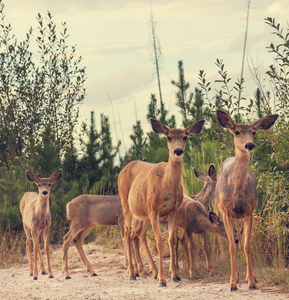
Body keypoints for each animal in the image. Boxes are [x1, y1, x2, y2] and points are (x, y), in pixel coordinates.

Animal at [117, 118, 205, 286]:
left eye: (185, 137)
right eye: (169, 137)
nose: (178, 151)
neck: (166, 184)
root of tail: (123, 169)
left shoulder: (173, 210)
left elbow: (172, 240)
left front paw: (175, 275)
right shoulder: (154, 211)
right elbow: (159, 242)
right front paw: (162, 280)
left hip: (142, 214)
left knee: (137, 234)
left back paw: (150, 271)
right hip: (126, 205)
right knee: (127, 233)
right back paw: (132, 273)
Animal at [215, 109, 278, 290]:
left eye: (253, 132)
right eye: (236, 132)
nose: (249, 145)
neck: (236, 194)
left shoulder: (249, 211)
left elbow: (247, 245)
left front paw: (251, 281)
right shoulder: (225, 212)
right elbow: (231, 246)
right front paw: (232, 283)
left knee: (242, 236)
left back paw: (250, 278)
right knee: (235, 238)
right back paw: (236, 278)